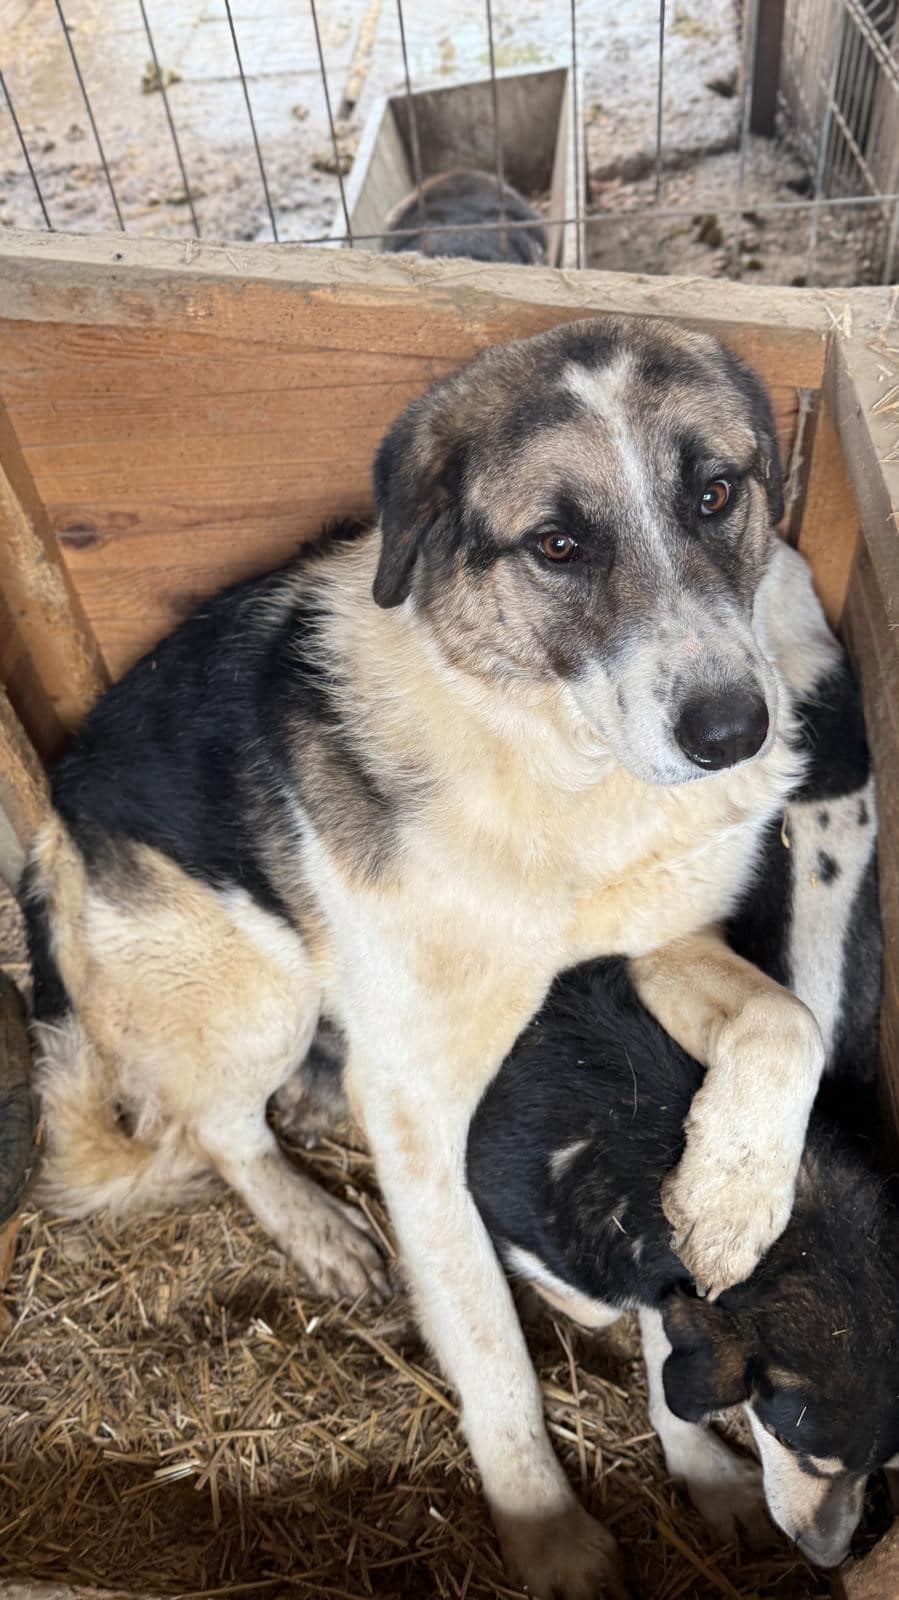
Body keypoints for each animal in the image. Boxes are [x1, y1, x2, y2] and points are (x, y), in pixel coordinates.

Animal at [23, 318, 831, 1598]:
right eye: (556, 543)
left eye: (713, 492)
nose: (729, 732)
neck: (560, 767)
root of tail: (47, 835)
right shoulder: (417, 1105)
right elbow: (489, 1348)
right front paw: (546, 1532)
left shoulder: (659, 946)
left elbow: (781, 1027)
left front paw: (729, 1200)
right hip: (254, 978)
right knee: (218, 1123)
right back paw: (317, 1226)